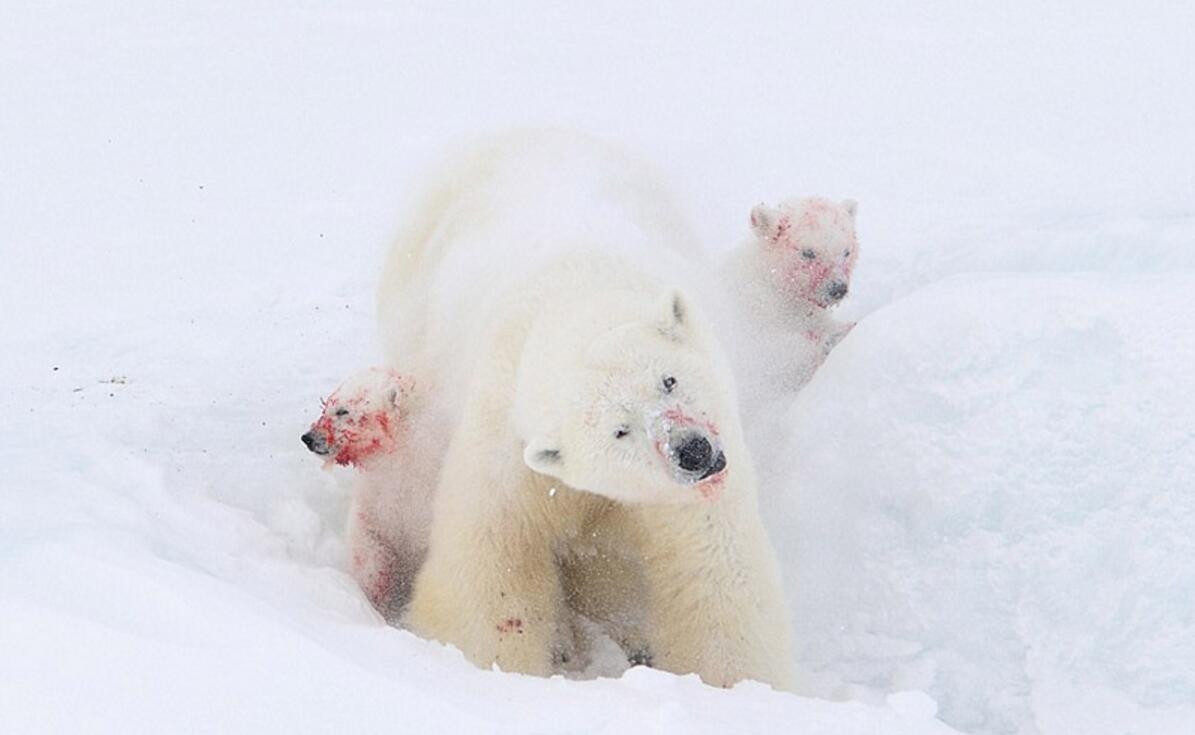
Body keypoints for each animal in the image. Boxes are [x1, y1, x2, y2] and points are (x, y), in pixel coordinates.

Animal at [377, 130, 798, 688]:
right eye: (619, 430)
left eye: (668, 380)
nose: (691, 451)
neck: (578, 288)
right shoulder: (507, 441)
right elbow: (493, 563)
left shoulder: (690, 488)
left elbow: (714, 571)